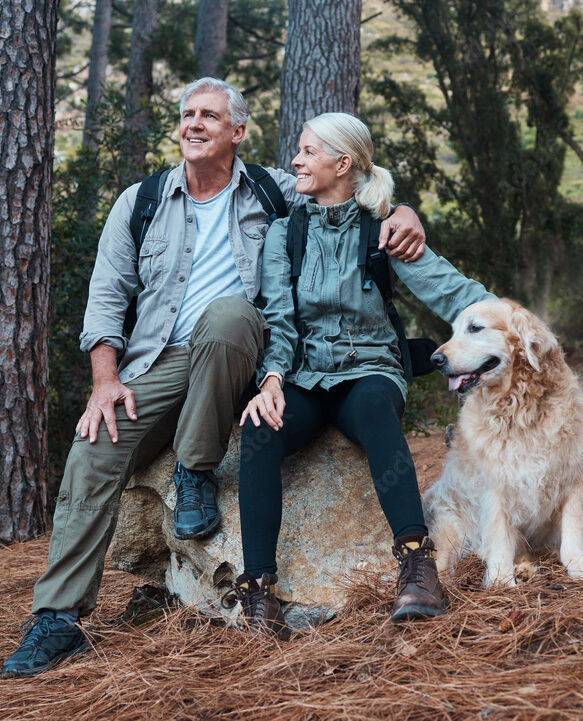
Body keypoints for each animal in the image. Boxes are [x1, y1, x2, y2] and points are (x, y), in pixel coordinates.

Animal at [424, 298, 583, 584]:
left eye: (475, 328)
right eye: (454, 331)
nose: (435, 360)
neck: (518, 409)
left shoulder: (573, 476)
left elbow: (573, 532)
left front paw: (577, 564)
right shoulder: (495, 487)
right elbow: (498, 537)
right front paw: (501, 581)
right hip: (450, 534)